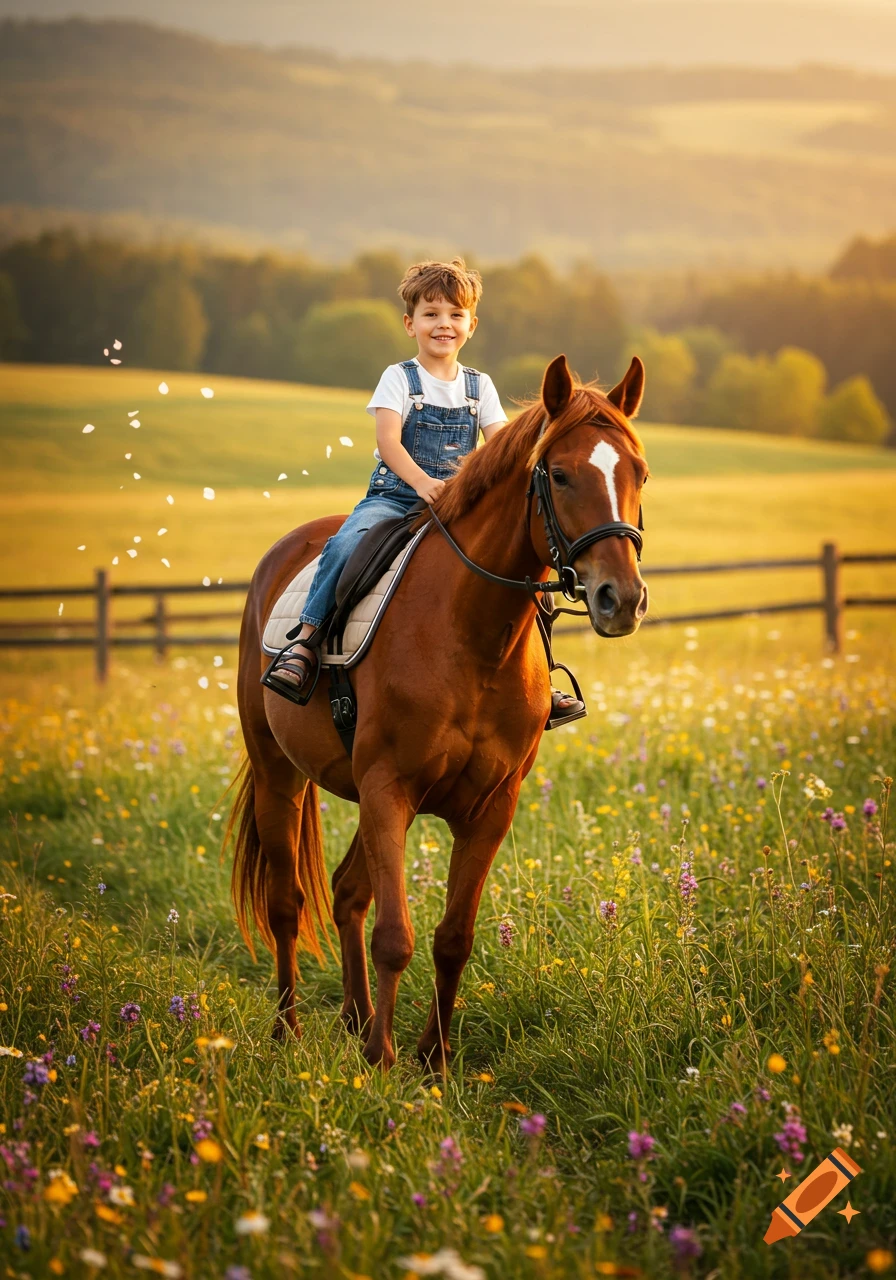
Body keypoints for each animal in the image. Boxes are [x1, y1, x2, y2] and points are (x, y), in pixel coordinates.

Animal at [229, 353, 649, 1071]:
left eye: (638, 472)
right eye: (561, 474)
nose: (620, 599)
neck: (471, 635)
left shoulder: (490, 807)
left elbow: (453, 937)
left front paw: (434, 1061)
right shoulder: (389, 790)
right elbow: (395, 936)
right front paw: (383, 1063)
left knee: (346, 893)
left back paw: (356, 1019)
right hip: (279, 774)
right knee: (288, 904)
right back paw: (290, 1032)